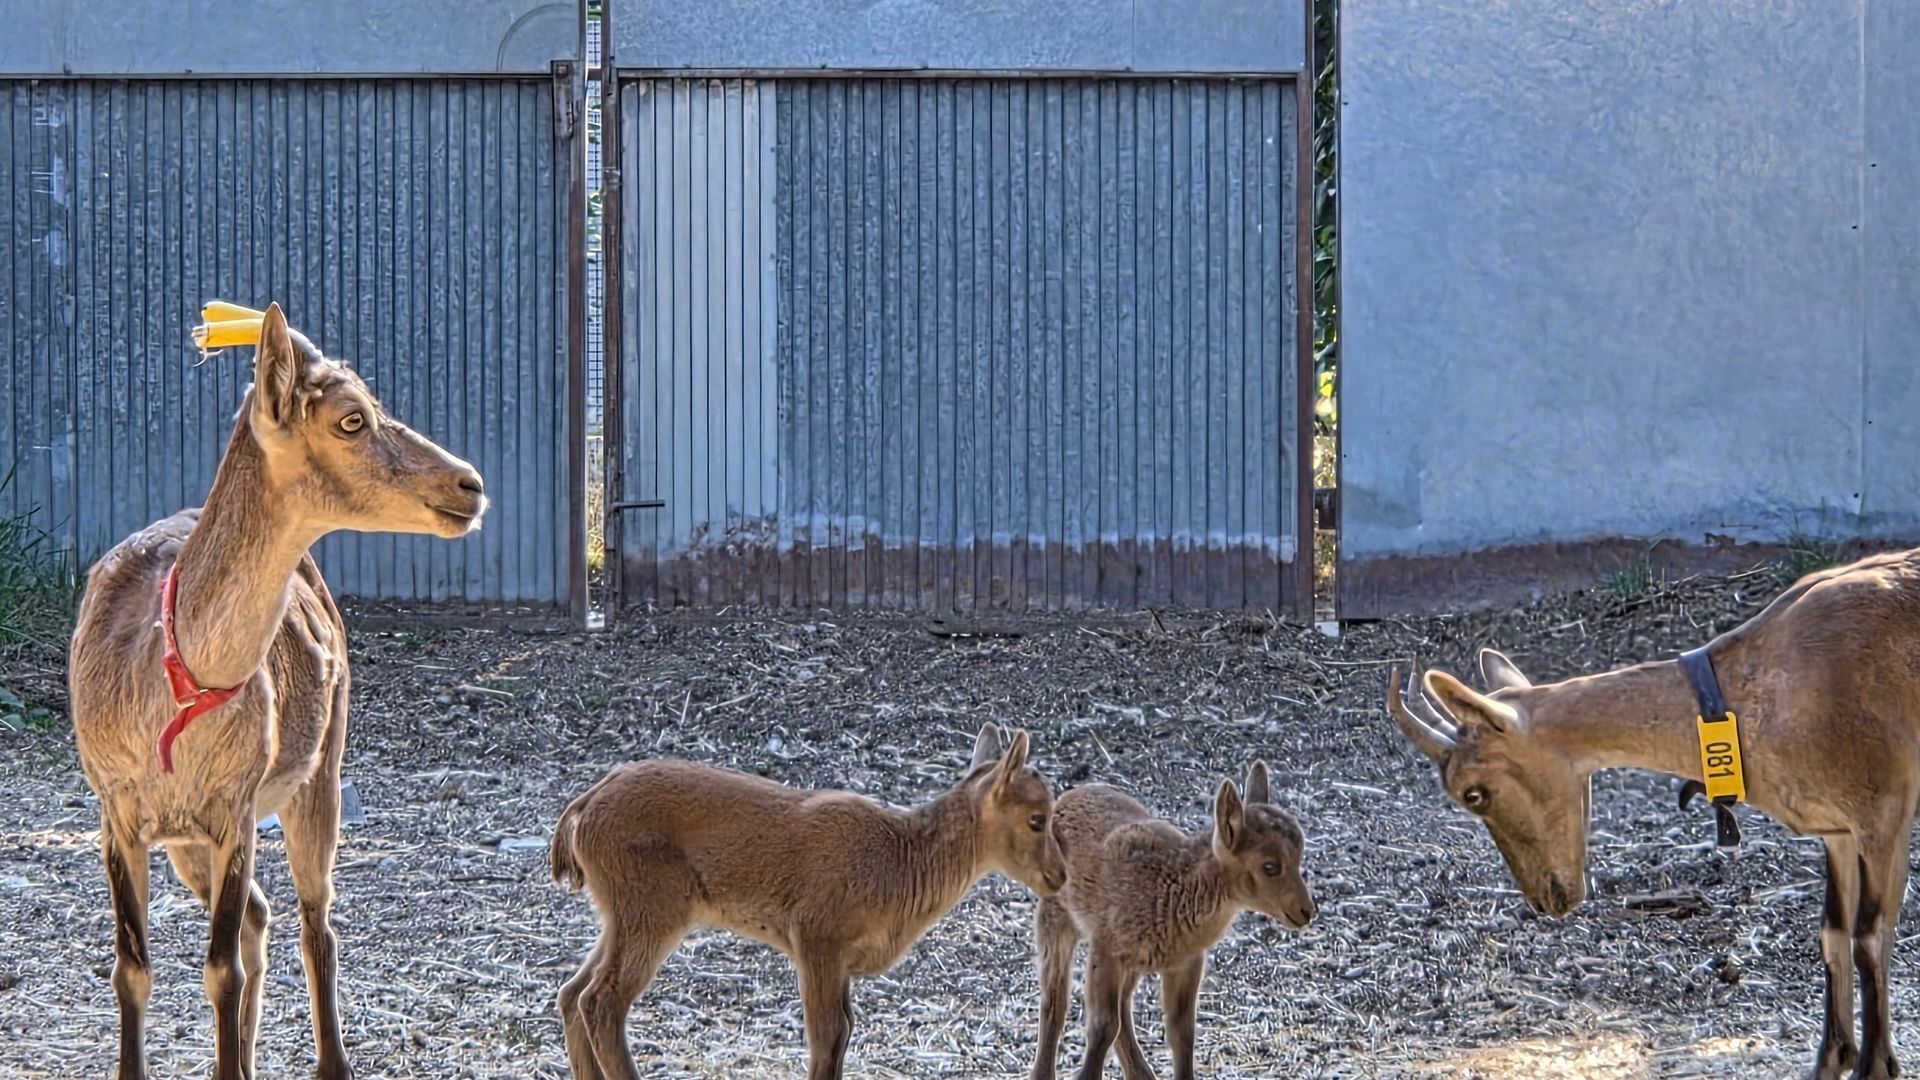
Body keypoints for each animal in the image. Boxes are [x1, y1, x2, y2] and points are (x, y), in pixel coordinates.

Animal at [69, 304, 486, 1080]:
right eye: (352, 418)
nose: (470, 486)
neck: (169, 692)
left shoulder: (235, 802)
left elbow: (218, 967)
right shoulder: (115, 806)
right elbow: (132, 966)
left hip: (320, 772)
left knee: (315, 922)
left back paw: (328, 1063)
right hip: (186, 841)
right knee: (261, 916)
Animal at [549, 722, 1069, 1080]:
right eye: (1037, 819)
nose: (1059, 875)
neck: (896, 866)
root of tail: (580, 811)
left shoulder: (841, 963)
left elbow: (844, 1032)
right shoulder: (816, 937)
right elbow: (826, 1035)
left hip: (619, 912)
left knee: (573, 992)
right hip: (653, 908)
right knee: (601, 1001)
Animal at [1031, 763, 1314, 1080]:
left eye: (1299, 856)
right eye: (1270, 867)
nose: (1306, 911)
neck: (1172, 889)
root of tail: (1064, 799)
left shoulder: (1186, 962)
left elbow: (1182, 1031)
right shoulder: (1106, 947)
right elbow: (1103, 1025)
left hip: (1134, 962)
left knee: (1123, 1006)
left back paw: (1141, 1073)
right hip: (1055, 914)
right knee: (1055, 1000)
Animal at [1387, 550, 1920, 1079]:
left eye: (1472, 793)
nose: (1546, 899)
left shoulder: (1885, 807)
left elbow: (1870, 936)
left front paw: (1877, 1065)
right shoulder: (1838, 830)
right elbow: (1833, 931)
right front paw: (1833, 1057)